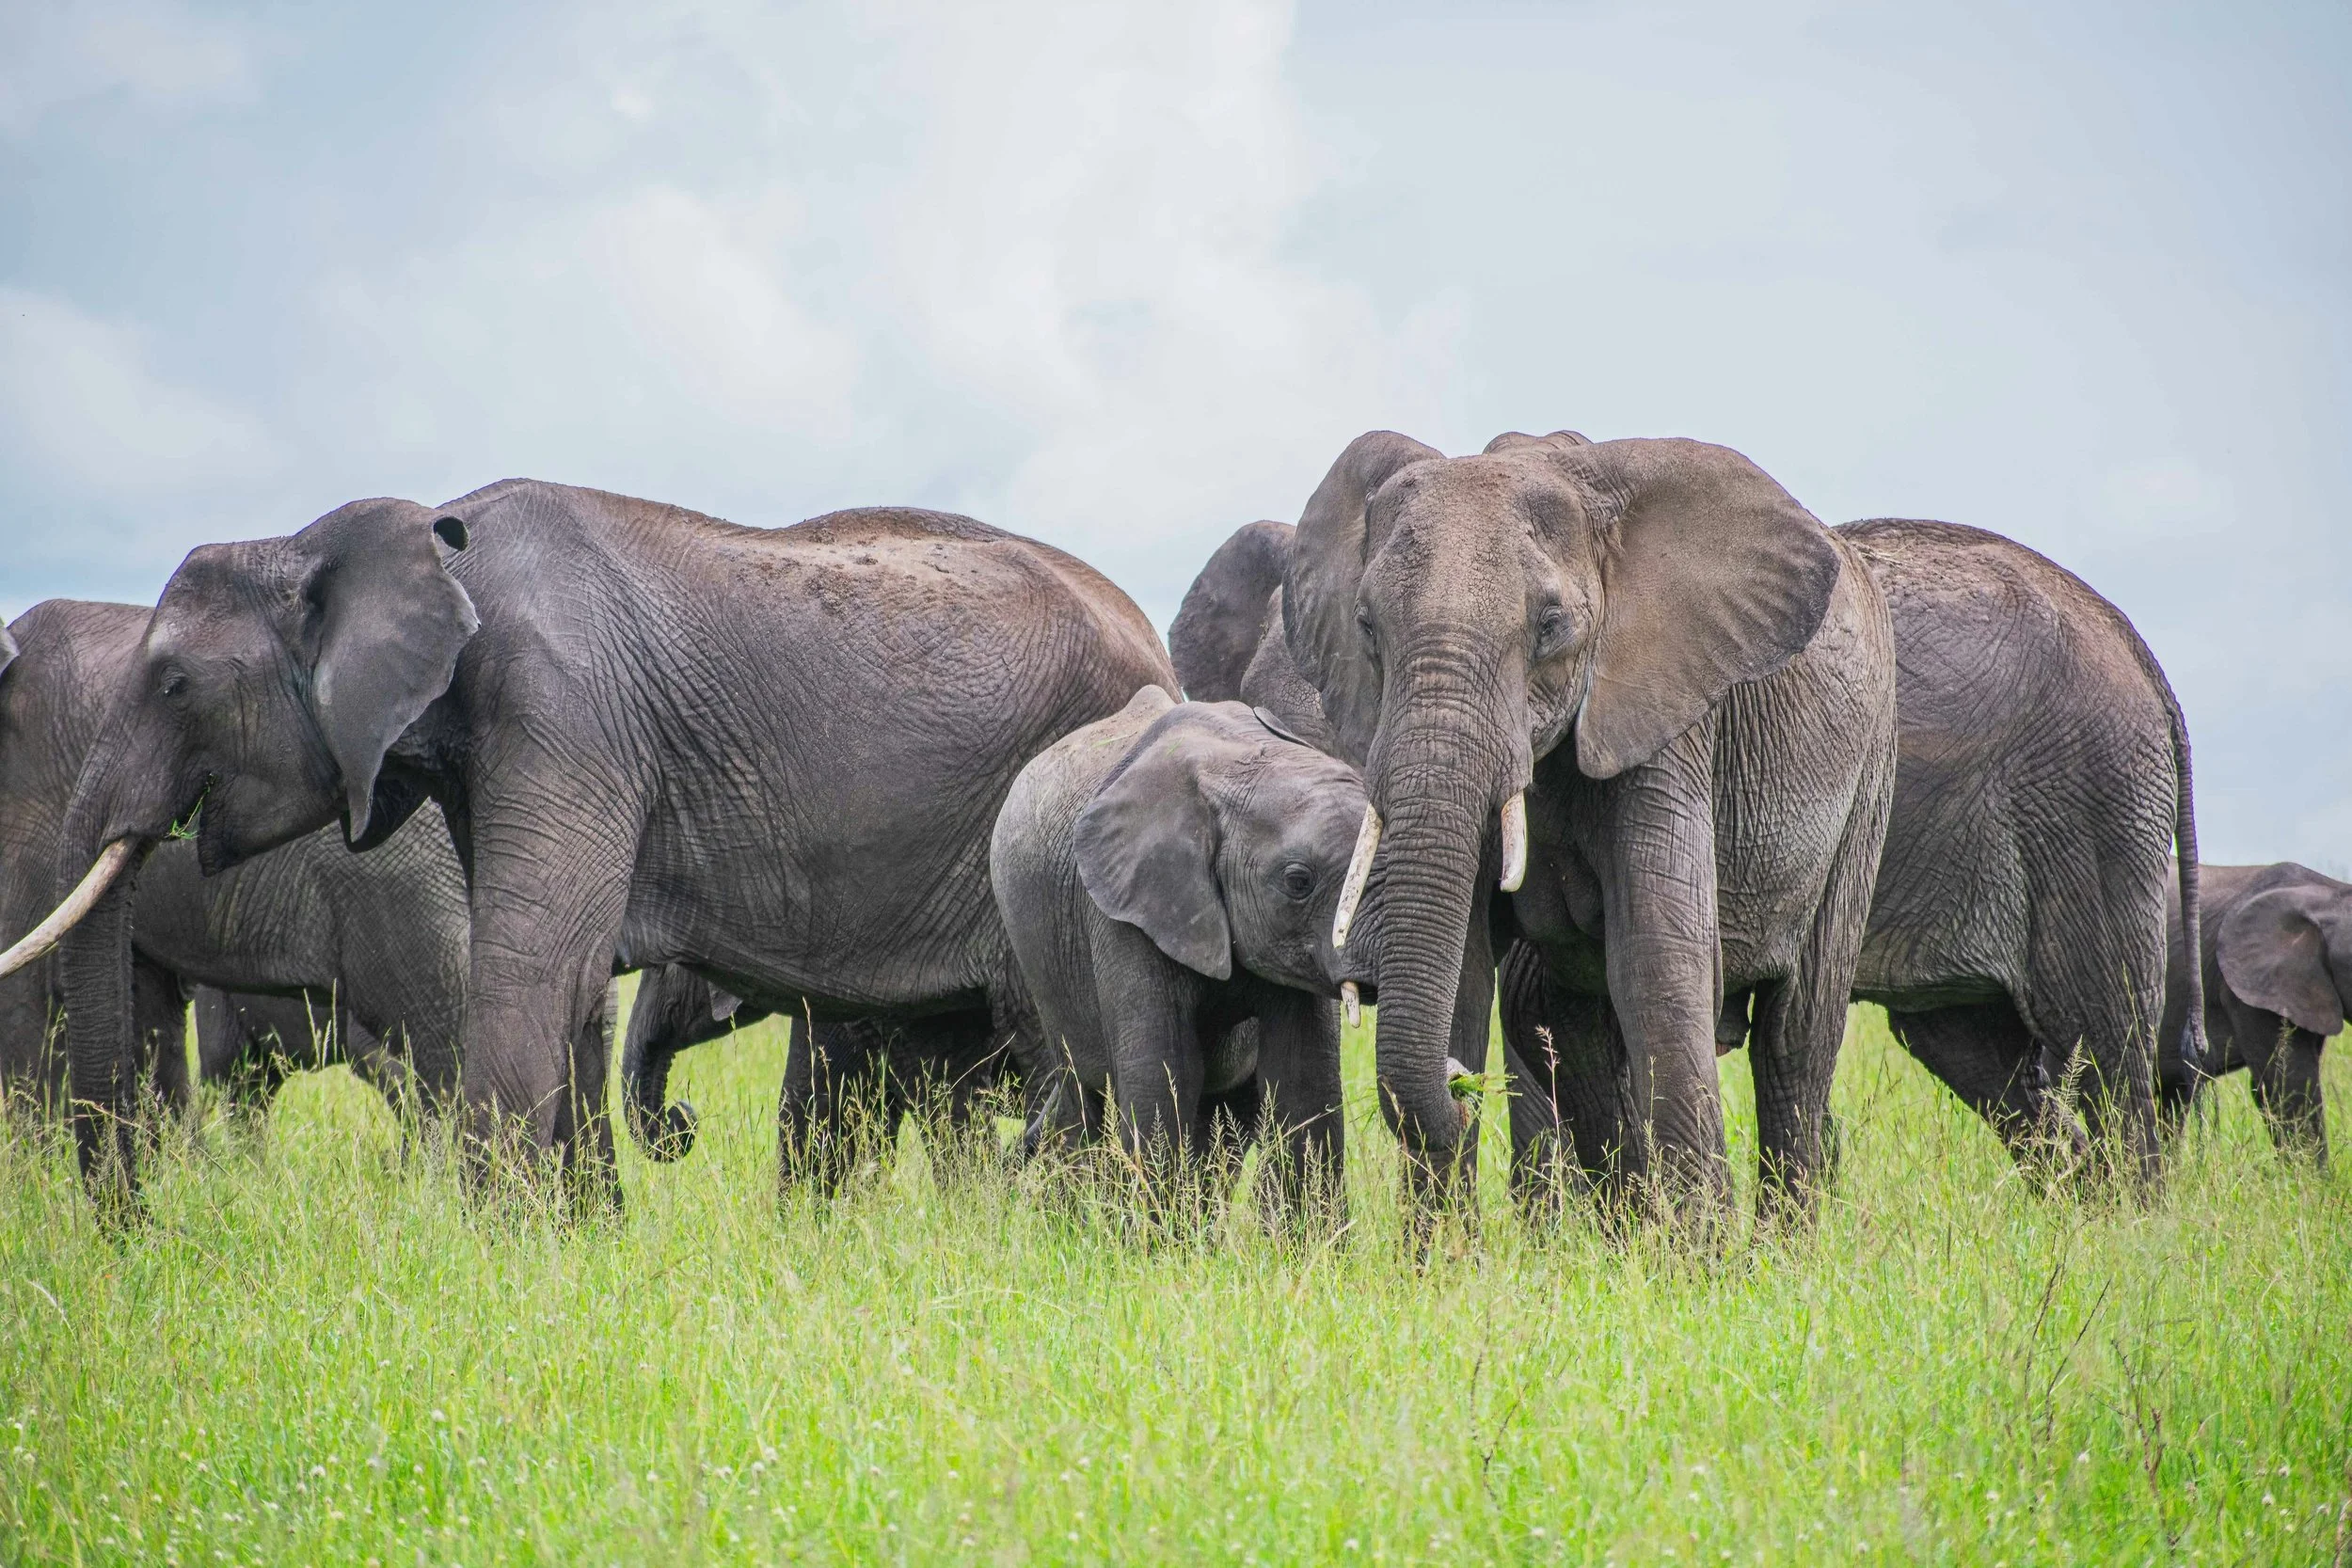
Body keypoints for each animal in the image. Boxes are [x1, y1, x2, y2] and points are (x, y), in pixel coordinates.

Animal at [988, 684, 1381, 1215]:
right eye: (1298, 881)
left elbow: (1304, 1077)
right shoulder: (1124, 908)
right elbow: (1163, 1074)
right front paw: (1152, 1237)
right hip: (1042, 964)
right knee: (1082, 1098)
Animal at [1279, 429, 1897, 1222]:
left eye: (1550, 626)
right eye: (1365, 626)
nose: (1458, 1084)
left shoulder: (1666, 715)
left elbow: (1658, 960)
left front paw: (1704, 1253)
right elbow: (1466, 970)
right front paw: (1443, 1254)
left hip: (1869, 776)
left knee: (1797, 1035)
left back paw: (1776, 1244)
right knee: (1569, 1026)